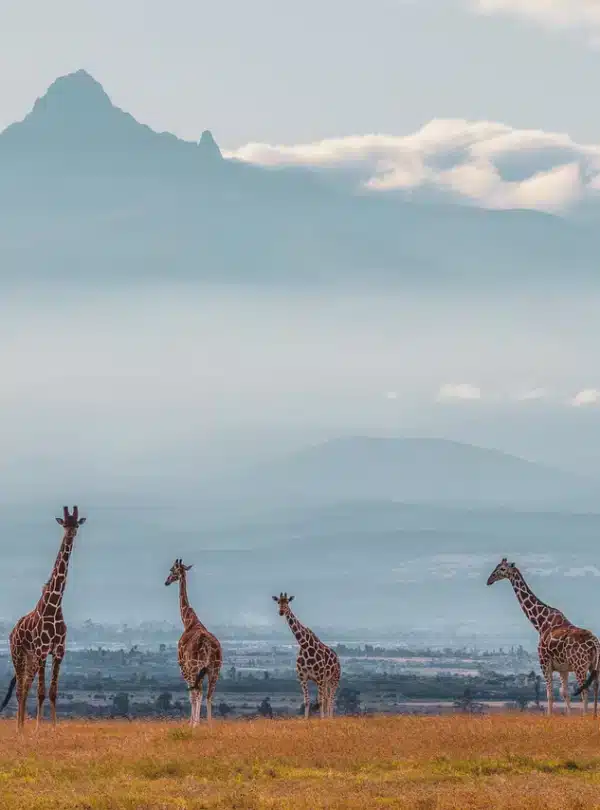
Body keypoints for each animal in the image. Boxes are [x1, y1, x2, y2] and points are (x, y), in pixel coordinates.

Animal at [0, 506, 86, 731]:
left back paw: (22, 727)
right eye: (65, 524)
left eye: (76, 524)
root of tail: (12, 632)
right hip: (19, 654)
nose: (71, 534)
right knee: (20, 690)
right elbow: (41, 692)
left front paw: (54, 728)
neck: (54, 605)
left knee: (25, 687)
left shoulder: (58, 651)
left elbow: (53, 692)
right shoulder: (41, 651)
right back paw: (19, 729)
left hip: (30, 659)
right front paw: (39, 728)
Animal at [165, 559, 222, 726]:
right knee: (208, 694)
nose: (166, 581)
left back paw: (197, 723)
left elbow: (192, 695)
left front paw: (192, 723)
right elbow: (198, 694)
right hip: (215, 669)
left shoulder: (184, 666)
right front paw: (195, 722)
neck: (189, 621)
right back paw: (210, 724)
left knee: (198, 692)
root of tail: (208, 646)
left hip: (194, 668)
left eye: (172, 570)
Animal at [487, 557, 600, 716]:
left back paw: (585, 716)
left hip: (580, 666)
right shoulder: (563, 668)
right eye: (496, 566)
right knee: (595, 688)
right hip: (594, 666)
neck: (541, 623)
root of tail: (595, 642)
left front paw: (549, 716)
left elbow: (549, 694)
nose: (489, 580)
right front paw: (569, 716)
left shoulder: (544, 663)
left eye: (502, 569)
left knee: (584, 691)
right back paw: (593, 716)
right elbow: (564, 693)